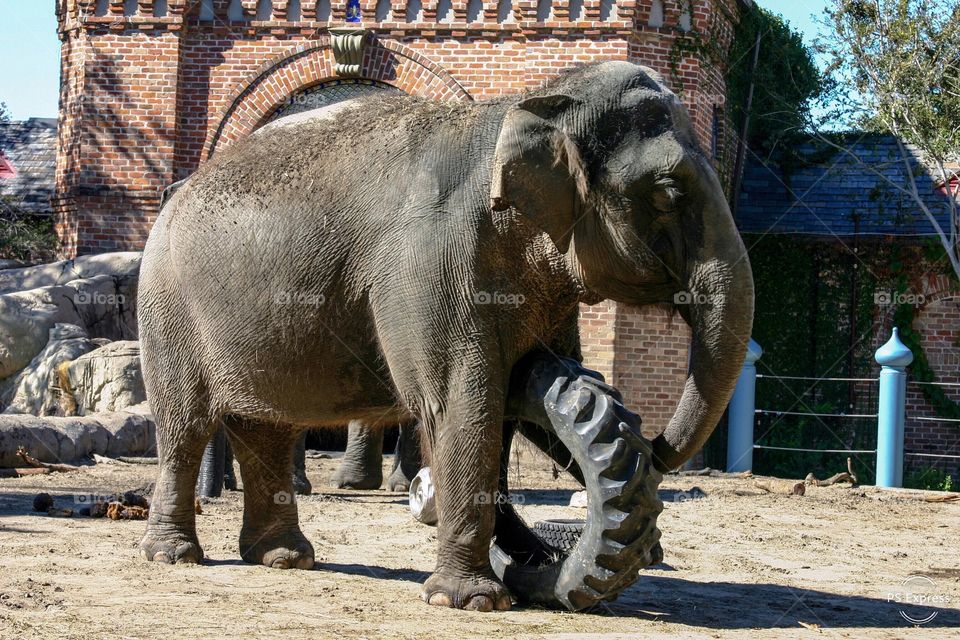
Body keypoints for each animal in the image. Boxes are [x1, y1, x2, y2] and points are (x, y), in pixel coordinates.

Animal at [137, 62, 752, 612]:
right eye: (668, 192)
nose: (658, 448)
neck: (525, 107)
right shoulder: (428, 263)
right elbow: (460, 404)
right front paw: (471, 601)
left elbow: (521, 398)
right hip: (168, 308)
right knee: (186, 425)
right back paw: (175, 556)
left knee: (266, 427)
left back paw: (284, 558)